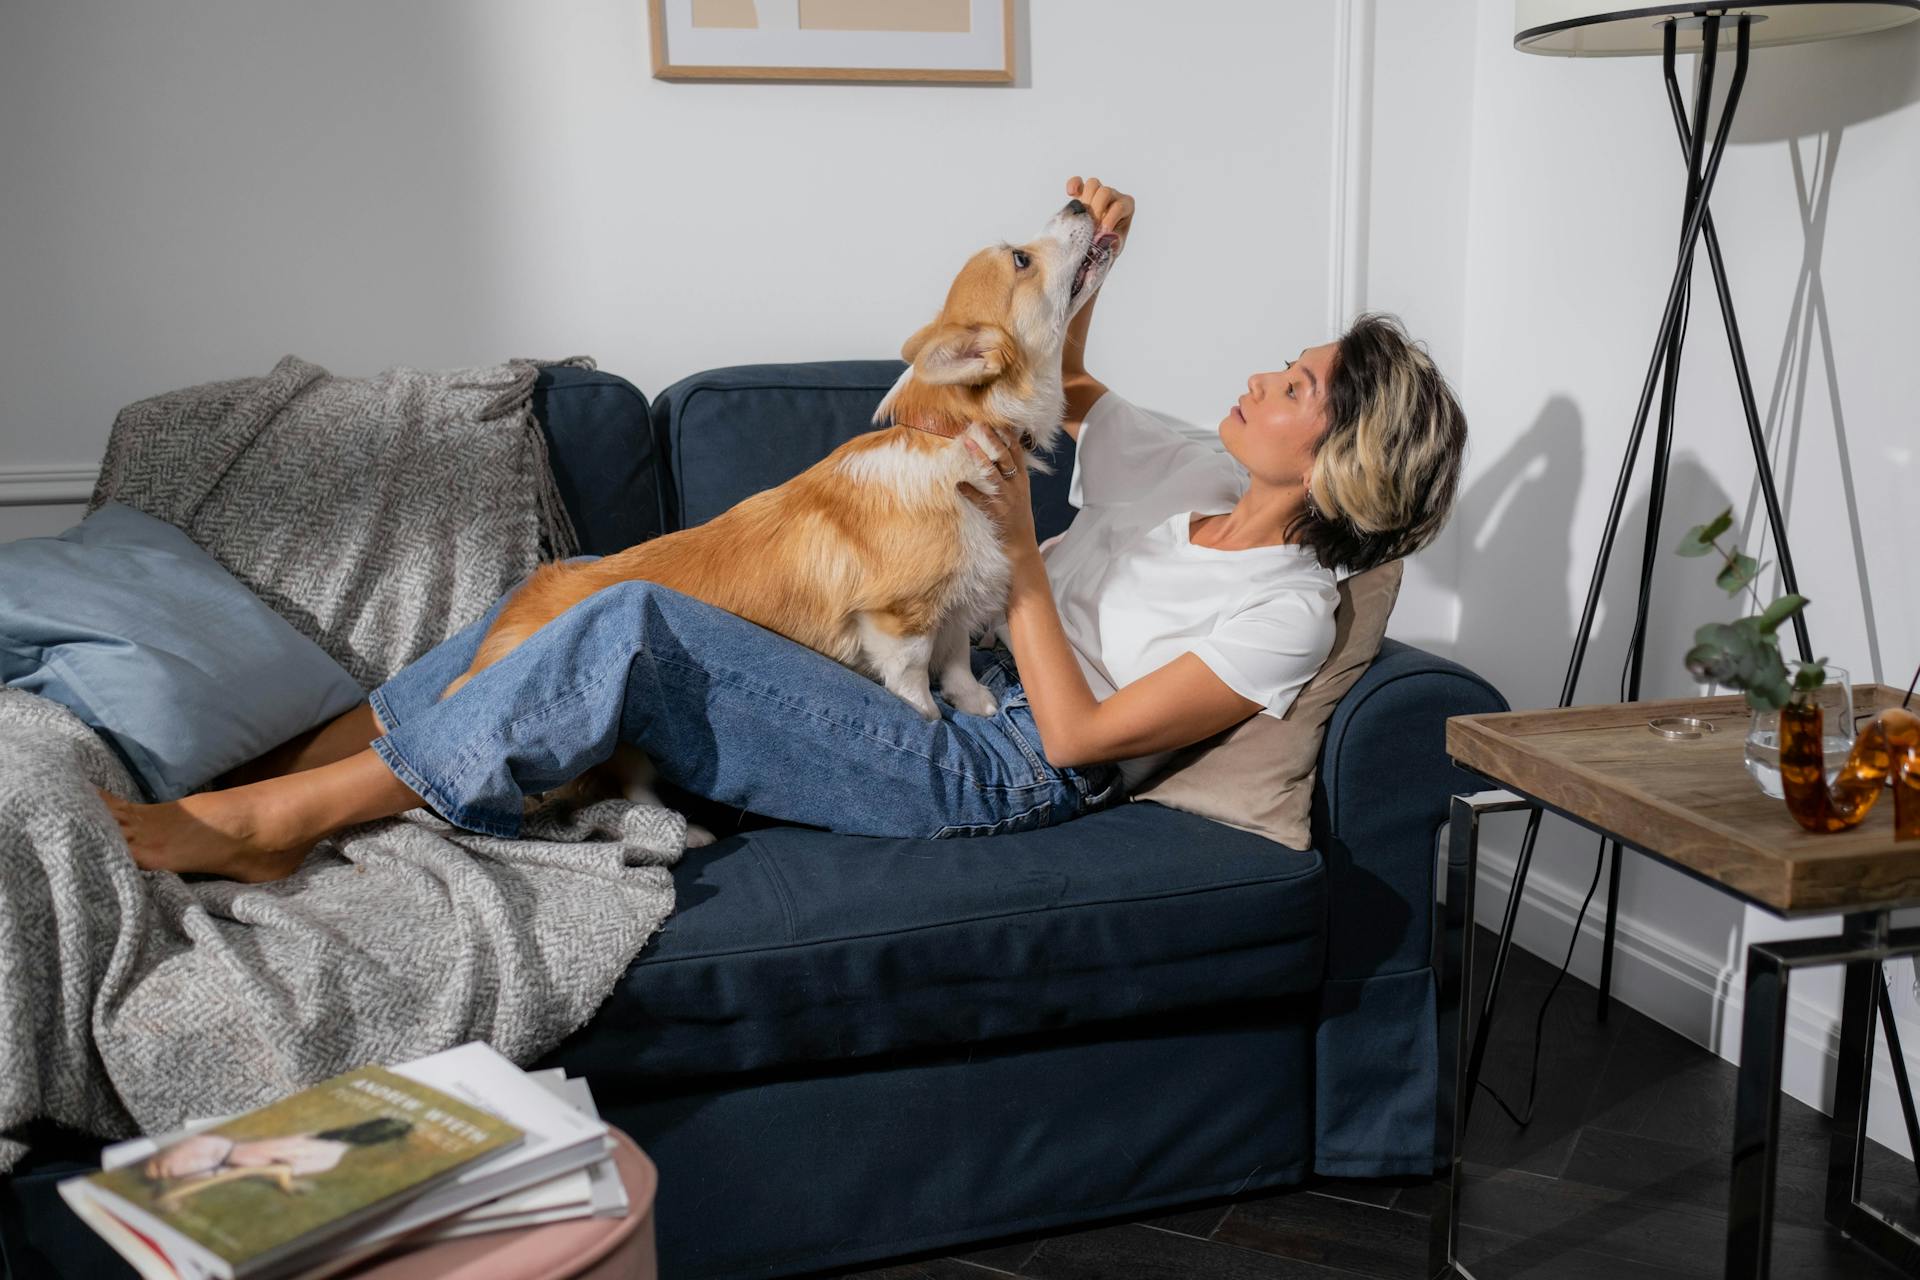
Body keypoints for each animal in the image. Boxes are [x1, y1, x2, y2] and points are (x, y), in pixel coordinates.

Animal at [439, 197, 1113, 832]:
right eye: (1021, 259)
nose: (1081, 203)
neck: (948, 433)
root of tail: (497, 646)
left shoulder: (955, 597)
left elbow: (954, 661)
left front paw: (975, 705)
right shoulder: (899, 616)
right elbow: (915, 672)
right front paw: (927, 721)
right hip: (623, 743)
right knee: (625, 788)